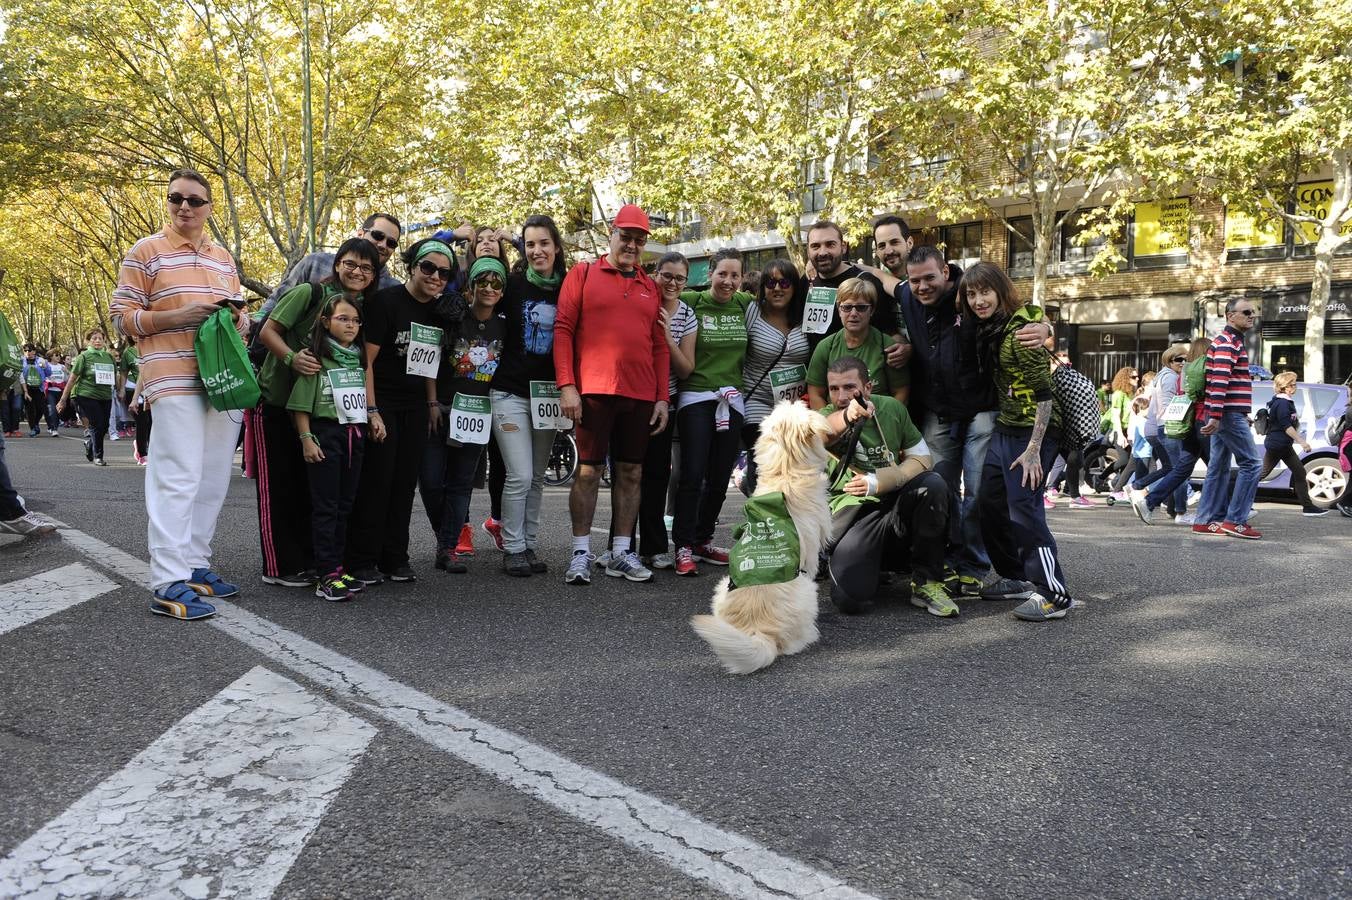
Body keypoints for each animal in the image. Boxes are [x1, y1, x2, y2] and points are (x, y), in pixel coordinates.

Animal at [697, 400, 832, 672]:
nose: (797, 399)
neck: (785, 472)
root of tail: (758, 632)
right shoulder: (811, 556)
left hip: (722, 587)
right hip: (807, 590)